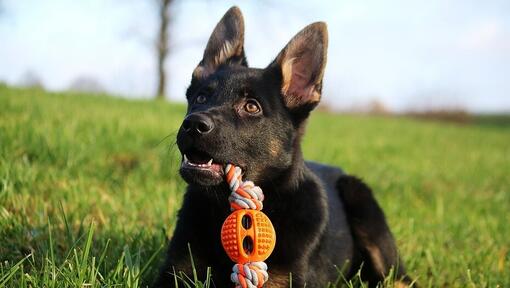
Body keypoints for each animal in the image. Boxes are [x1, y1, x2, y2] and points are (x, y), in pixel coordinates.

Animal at [154, 6, 410, 288]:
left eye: (251, 106)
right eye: (200, 97)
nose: (192, 125)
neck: (224, 208)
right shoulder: (175, 271)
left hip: (362, 203)